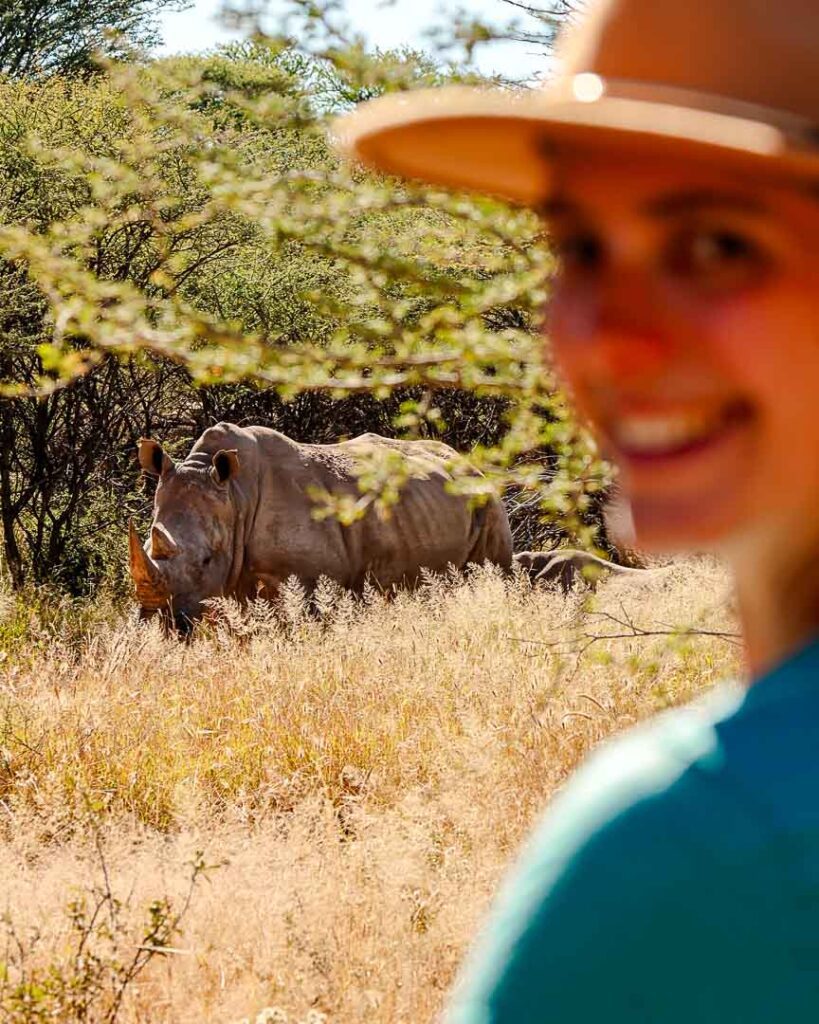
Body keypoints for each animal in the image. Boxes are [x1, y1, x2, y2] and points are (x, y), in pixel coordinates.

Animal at [129, 422, 513, 628]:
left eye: (206, 560)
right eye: (145, 547)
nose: (158, 617)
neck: (235, 496)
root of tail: (468, 463)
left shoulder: (309, 582)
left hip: (488, 503)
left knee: (491, 572)